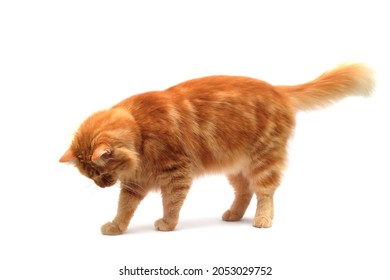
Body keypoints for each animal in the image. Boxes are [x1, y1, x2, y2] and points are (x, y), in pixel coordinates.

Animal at [58, 63, 374, 234]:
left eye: (101, 171)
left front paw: (167, 224)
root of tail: (277, 89)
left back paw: (262, 220)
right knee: (245, 191)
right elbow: (124, 208)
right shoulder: (134, 185)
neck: (140, 130)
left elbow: (171, 204)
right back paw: (234, 214)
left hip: (263, 161)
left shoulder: (176, 174)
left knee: (265, 193)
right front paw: (116, 227)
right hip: (235, 166)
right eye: (90, 176)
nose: (101, 185)